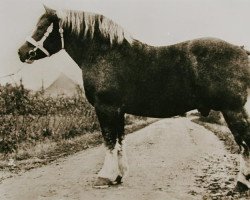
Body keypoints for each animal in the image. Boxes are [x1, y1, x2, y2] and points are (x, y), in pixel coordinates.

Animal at [18, 5, 250, 190]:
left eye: (42, 28)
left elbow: (109, 141)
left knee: (244, 142)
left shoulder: (106, 108)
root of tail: (242, 51)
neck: (104, 53)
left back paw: (241, 183)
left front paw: (105, 176)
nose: (22, 52)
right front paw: (118, 176)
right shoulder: (118, 111)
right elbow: (119, 141)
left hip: (233, 110)